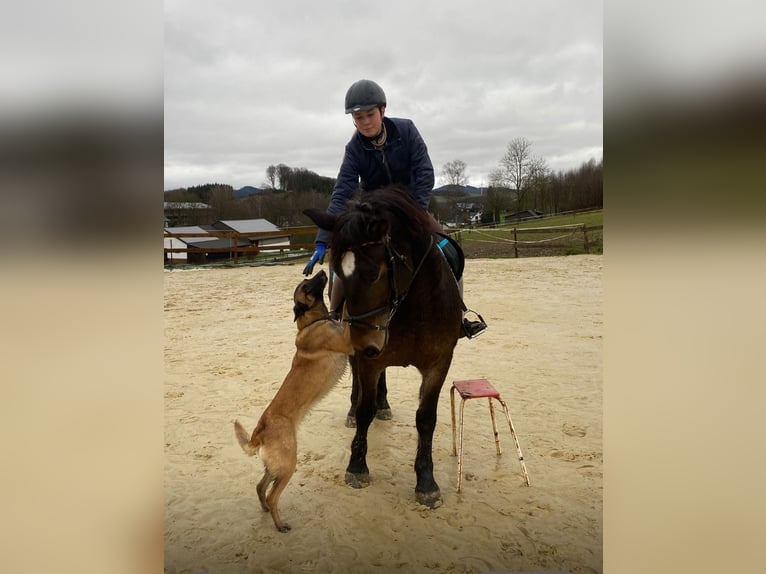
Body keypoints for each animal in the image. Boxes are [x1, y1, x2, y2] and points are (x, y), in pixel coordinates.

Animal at [232, 272, 356, 536]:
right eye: (307, 286)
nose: (322, 271)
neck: (312, 322)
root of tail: (259, 431)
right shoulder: (347, 340)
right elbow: (348, 315)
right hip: (288, 465)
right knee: (272, 496)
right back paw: (279, 524)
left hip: (276, 467)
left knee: (260, 487)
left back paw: (265, 511)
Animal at [304, 188, 462, 508]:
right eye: (337, 271)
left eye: (374, 274)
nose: (365, 343)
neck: (411, 308)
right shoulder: (368, 360)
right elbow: (365, 410)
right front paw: (357, 467)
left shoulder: (439, 362)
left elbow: (426, 419)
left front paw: (426, 482)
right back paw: (355, 410)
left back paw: (384, 405)